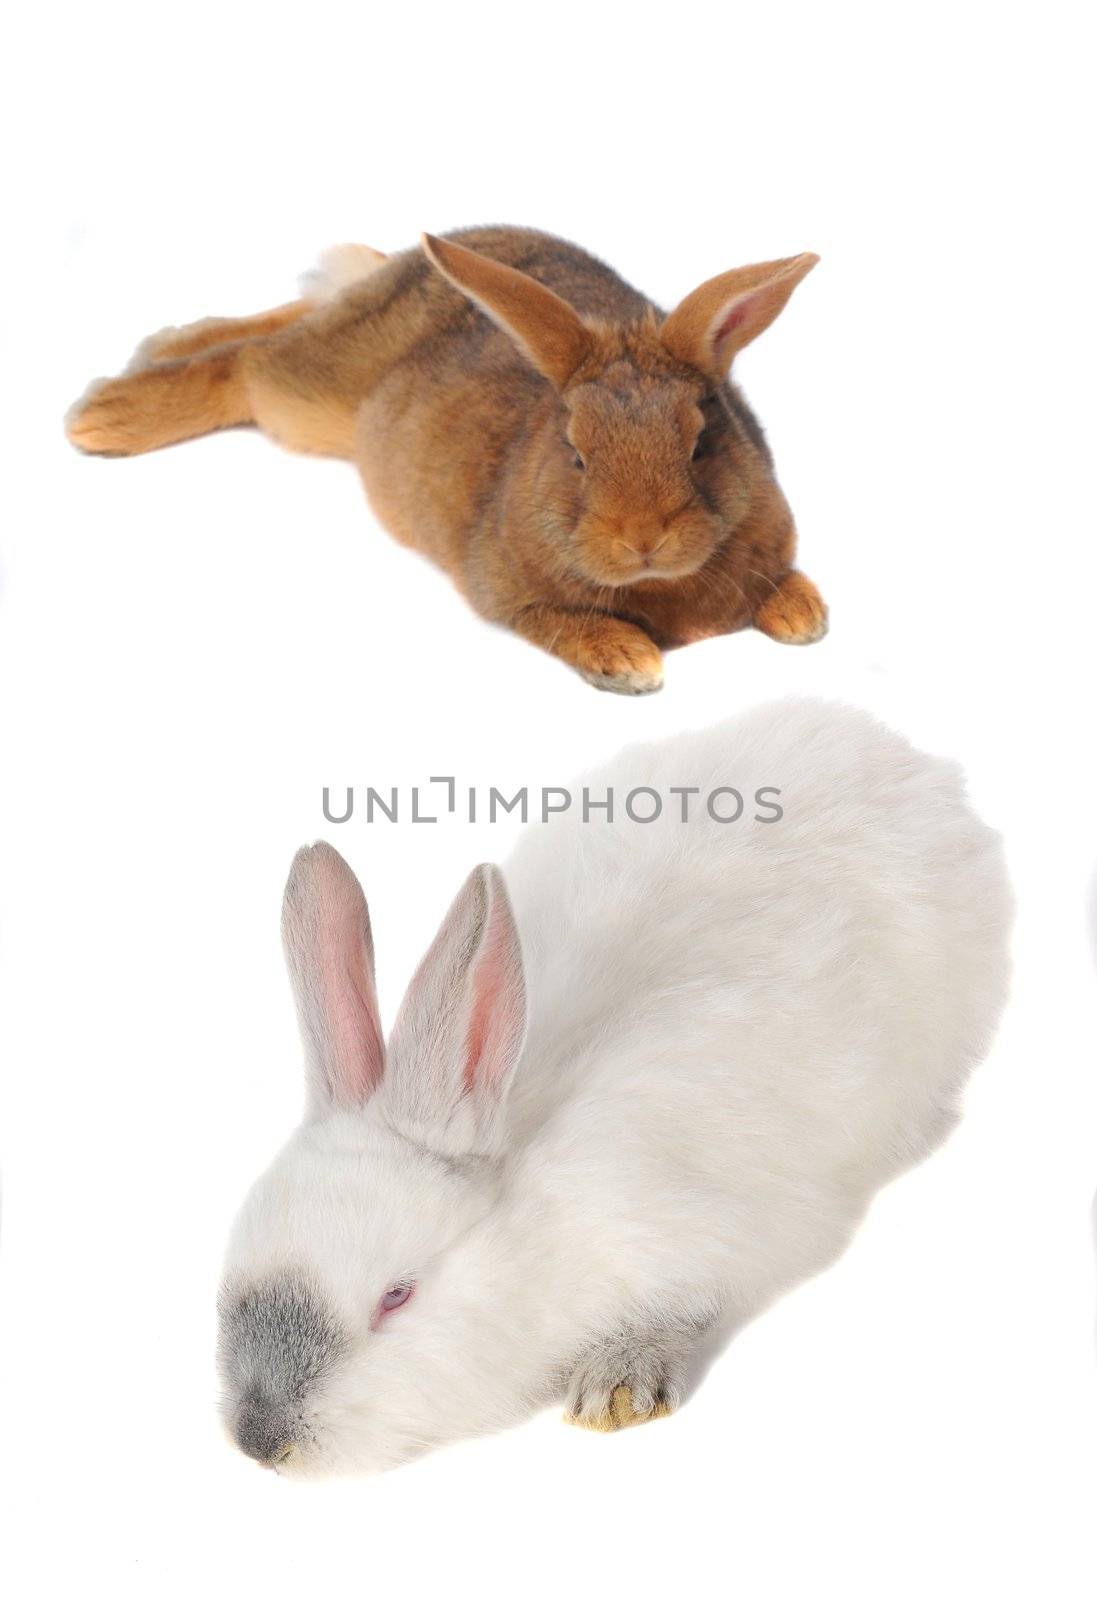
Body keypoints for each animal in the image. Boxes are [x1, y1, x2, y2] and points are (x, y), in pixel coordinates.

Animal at [66, 227, 825, 694]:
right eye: (575, 452)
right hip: (309, 393)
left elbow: (783, 582)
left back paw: (157, 346)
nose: (643, 539)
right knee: (248, 363)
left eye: (701, 441)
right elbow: (559, 621)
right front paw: (629, 662)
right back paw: (107, 413)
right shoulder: (506, 594)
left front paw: (804, 617)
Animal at [217, 700, 1017, 1472]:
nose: (260, 1443)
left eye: (396, 1296)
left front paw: (615, 1385)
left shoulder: (715, 1236)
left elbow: (685, 1307)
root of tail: (905, 757)